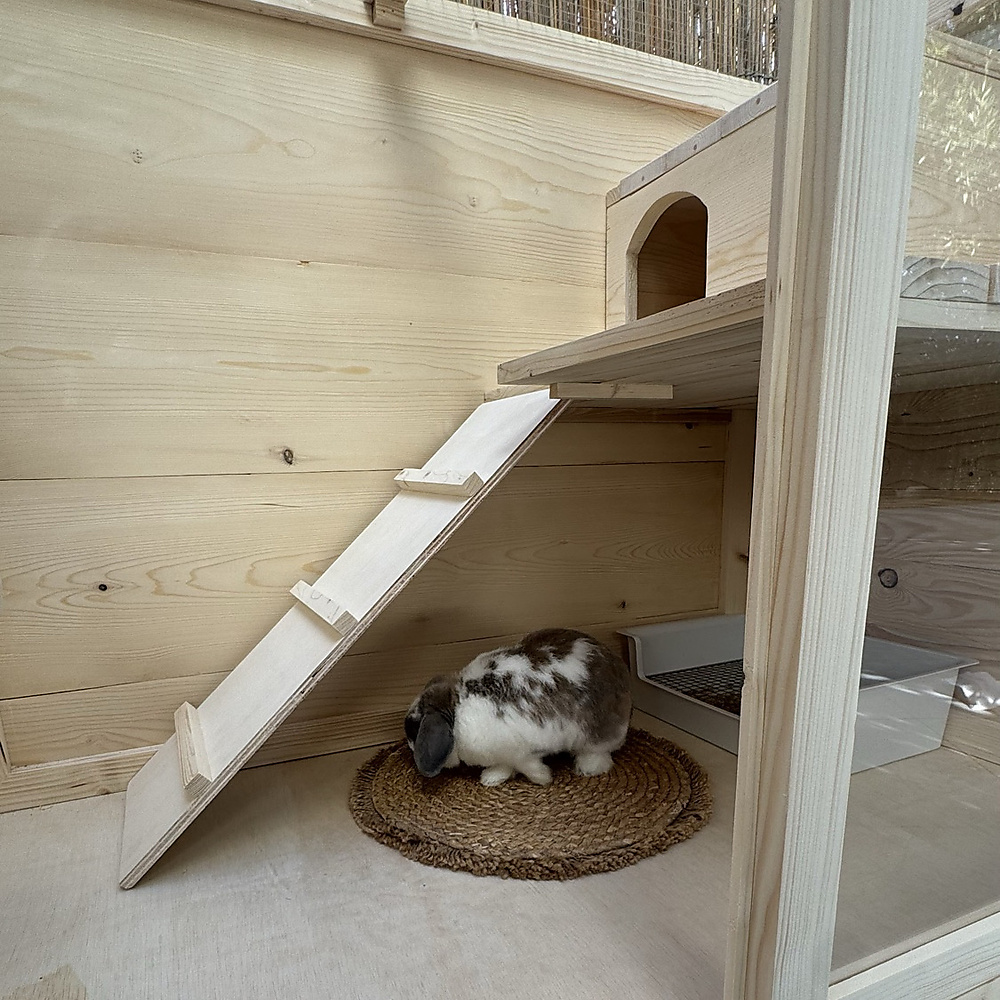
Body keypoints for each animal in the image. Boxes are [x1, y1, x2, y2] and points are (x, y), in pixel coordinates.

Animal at [404, 628, 632, 787]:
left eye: (414, 729)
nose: (410, 746)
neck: (455, 708)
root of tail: (620, 669)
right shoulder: (504, 755)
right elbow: (503, 766)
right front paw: (491, 778)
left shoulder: (521, 751)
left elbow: (528, 766)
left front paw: (543, 778)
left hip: (596, 734)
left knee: (600, 753)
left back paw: (587, 769)